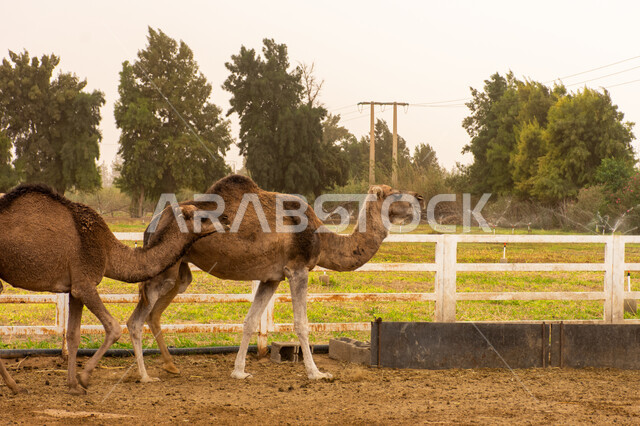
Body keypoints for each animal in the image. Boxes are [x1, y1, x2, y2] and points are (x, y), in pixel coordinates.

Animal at [0, 184, 226, 395]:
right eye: (202, 216)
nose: (225, 220)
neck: (107, 250)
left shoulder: (75, 288)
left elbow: (73, 336)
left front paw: (73, 386)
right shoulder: (85, 285)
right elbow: (114, 328)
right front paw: (84, 377)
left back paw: (15, 386)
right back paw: (16, 386)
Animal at [127, 174, 423, 382]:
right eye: (393, 192)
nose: (420, 197)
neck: (324, 239)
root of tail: (150, 225)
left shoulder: (271, 278)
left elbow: (249, 322)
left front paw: (239, 372)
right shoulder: (297, 270)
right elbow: (302, 324)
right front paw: (317, 374)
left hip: (179, 273)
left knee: (154, 314)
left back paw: (171, 366)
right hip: (163, 270)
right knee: (135, 320)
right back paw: (145, 376)